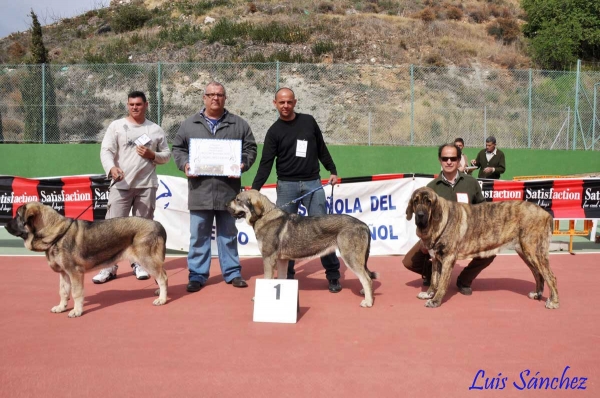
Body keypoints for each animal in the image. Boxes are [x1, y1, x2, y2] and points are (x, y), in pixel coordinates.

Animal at [5, 202, 168, 318]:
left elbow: (76, 293)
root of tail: (158, 224)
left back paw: (162, 299)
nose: (5, 225)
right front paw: (61, 307)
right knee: (162, 274)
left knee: (163, 277)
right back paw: (159, 293)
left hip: (146, 259)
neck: (55, 232)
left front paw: (77, 311)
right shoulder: (64, 273)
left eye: (17, 215)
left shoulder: (75, 273)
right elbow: (63, 292)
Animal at [227, 190, 378, 308]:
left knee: (367, 279)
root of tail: (363, 224)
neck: (264, 216)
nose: (225, 205)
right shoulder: (282, 260)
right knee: (366, 277)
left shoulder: (268, 259)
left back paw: (368, 302)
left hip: (350, 257)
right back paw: (366, 293)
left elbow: (266, 279)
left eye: (237, 199)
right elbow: (281, 278)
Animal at [406, 188, 560, 310]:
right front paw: (429, 293)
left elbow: (442, 282)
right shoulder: (436, 258)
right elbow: (434, 279)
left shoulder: (448, 258)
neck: (435, 223)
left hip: (534, 251)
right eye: (415, 201)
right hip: (526, 252)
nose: (420, 215)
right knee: (538, 274)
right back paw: (537, 294)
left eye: (428, 202)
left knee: (550, 276)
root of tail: (546, 214)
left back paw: (554, 302)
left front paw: (435, 301)